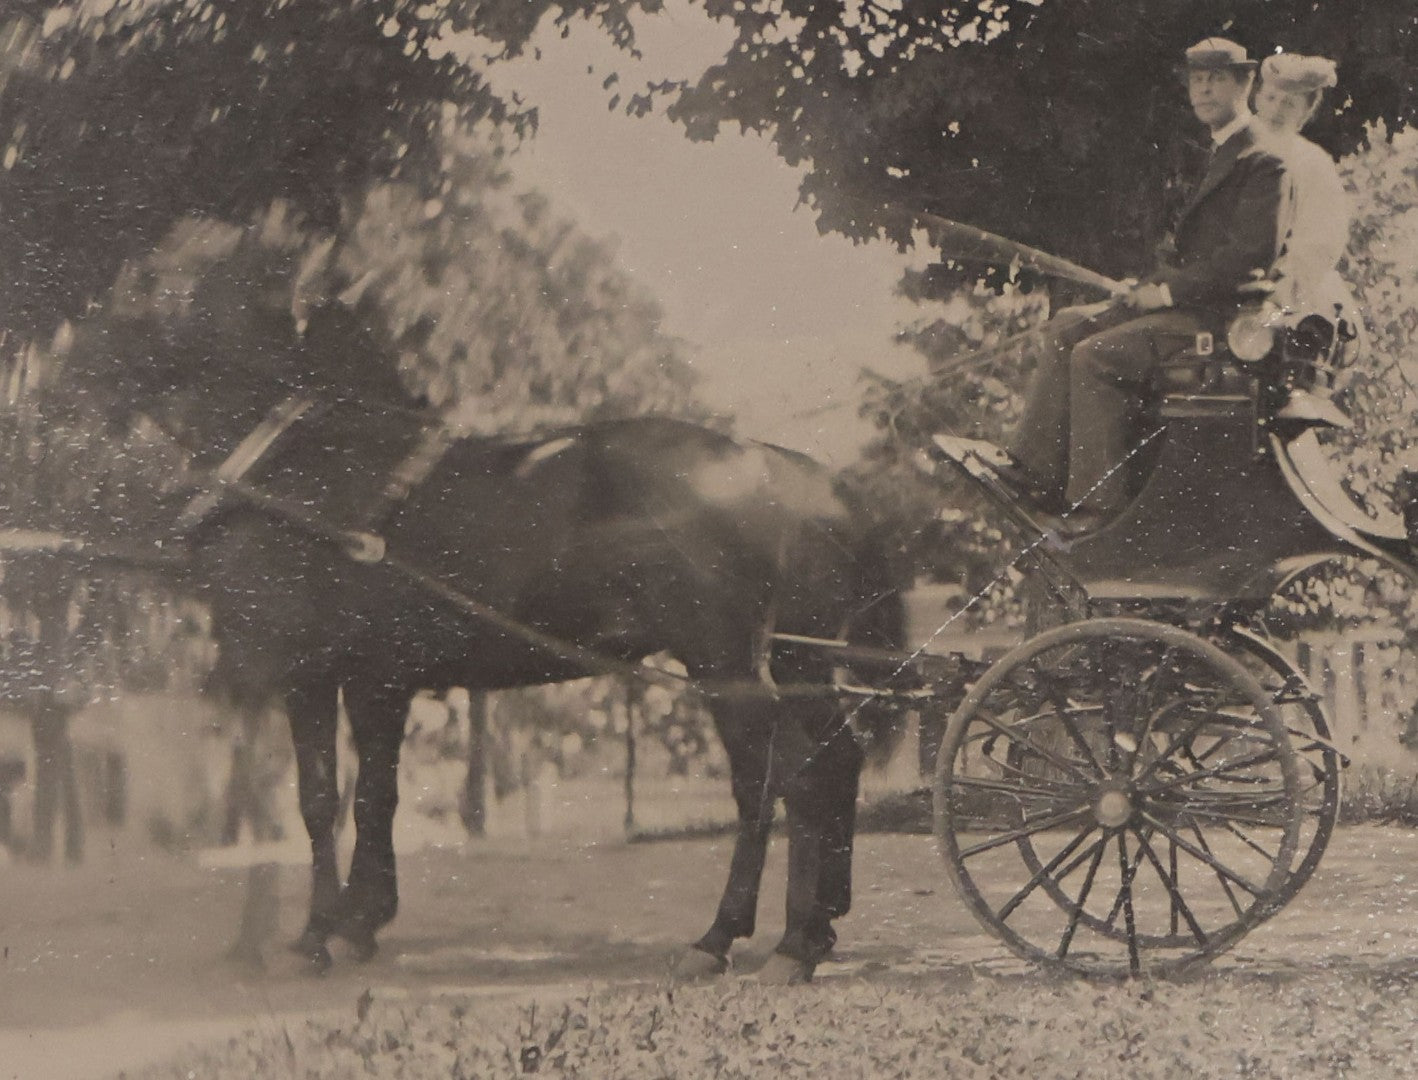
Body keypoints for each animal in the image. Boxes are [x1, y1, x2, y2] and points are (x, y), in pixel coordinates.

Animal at [57, 312, 908, 983]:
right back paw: (816, 928)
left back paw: (742, 940)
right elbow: (374, 797)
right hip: (797, 661)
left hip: (727, 668)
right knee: (832, 762)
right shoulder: (379, 679)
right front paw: (361, 921)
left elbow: (319, 800)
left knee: (775, 784)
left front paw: (315, 935)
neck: (295, 472)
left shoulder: (307, 673)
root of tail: (779, 466)